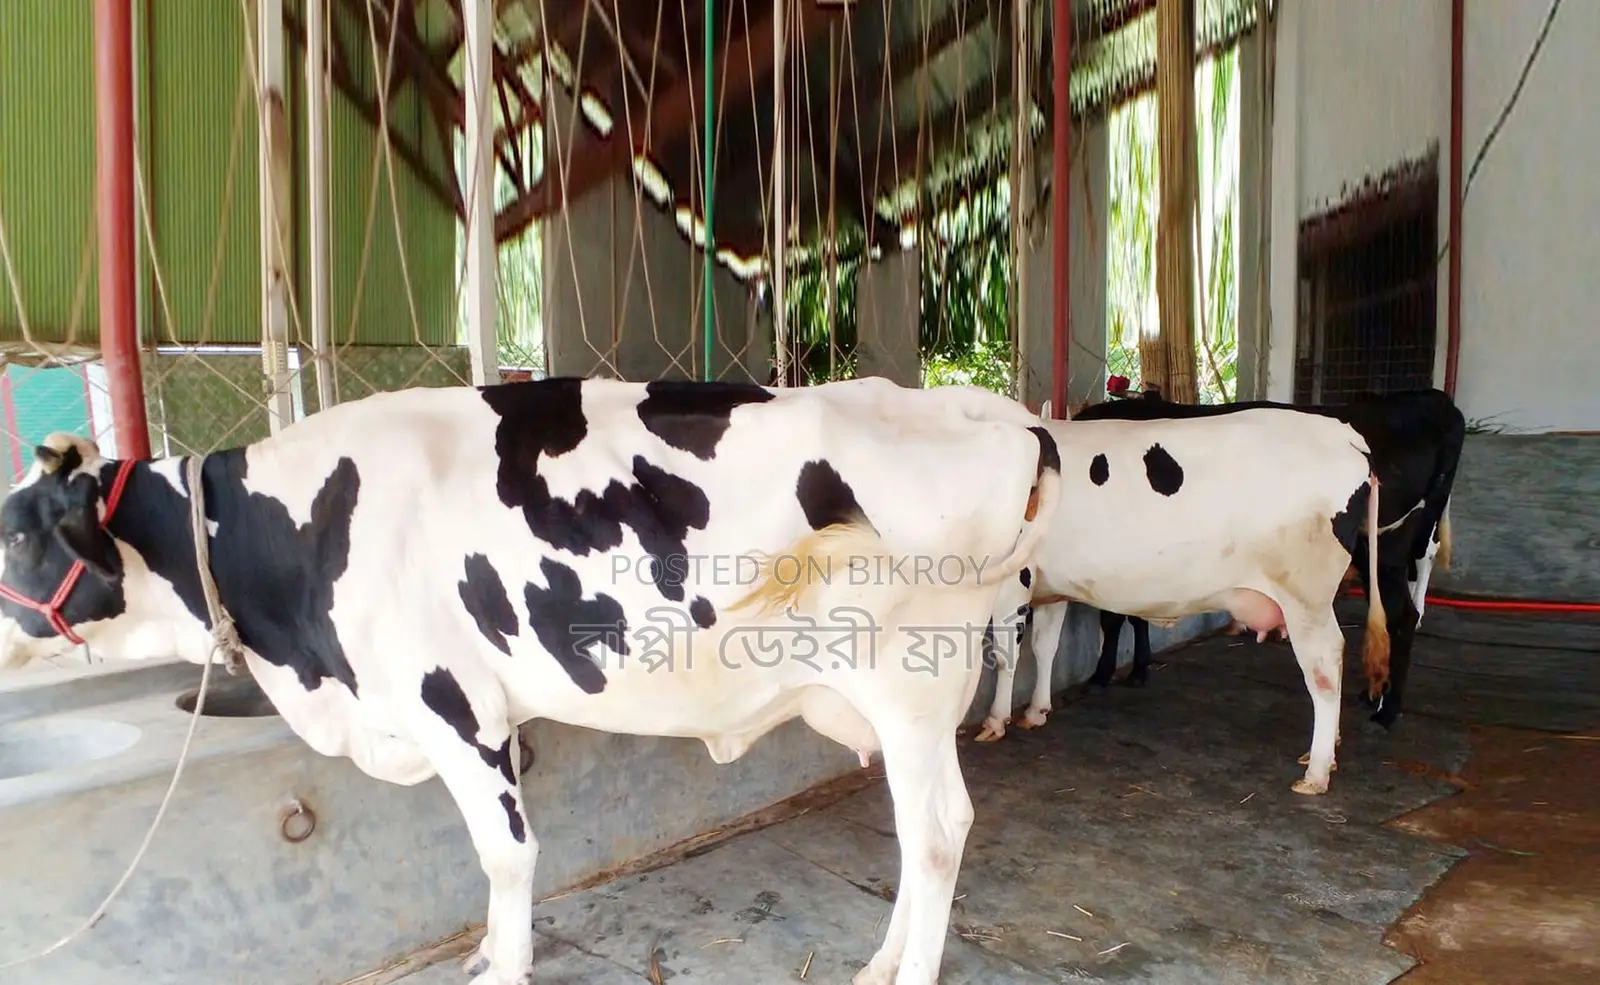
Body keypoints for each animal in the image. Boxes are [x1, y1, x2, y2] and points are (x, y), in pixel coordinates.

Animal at [0, 375, 1061, 985]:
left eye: (14, 532)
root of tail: (988, 404)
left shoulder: (451, 703)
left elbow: (506, 853)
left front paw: (501, 965)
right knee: (920, 829)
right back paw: (880, 962)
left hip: (913, 687)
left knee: (937, 831)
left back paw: (908, 970)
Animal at [973, 405, 1386, 796]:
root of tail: (1343, 433)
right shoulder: (1049, 585)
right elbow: (1045, 647)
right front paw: (1036, 711)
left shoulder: (1012, 578)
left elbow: (1006, 655)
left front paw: (995, 720)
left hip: (1305, 597)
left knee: (1324, 667)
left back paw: (1316, 771)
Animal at [1065, 388, 1465, 730]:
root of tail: (1426, 401)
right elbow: (1133, 614)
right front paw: (1137, 669)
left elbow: (1114, 617)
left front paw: (1103, 675)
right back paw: (1376, 698)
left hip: (1382, 547)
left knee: (1402, 616)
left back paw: (1387, 711)